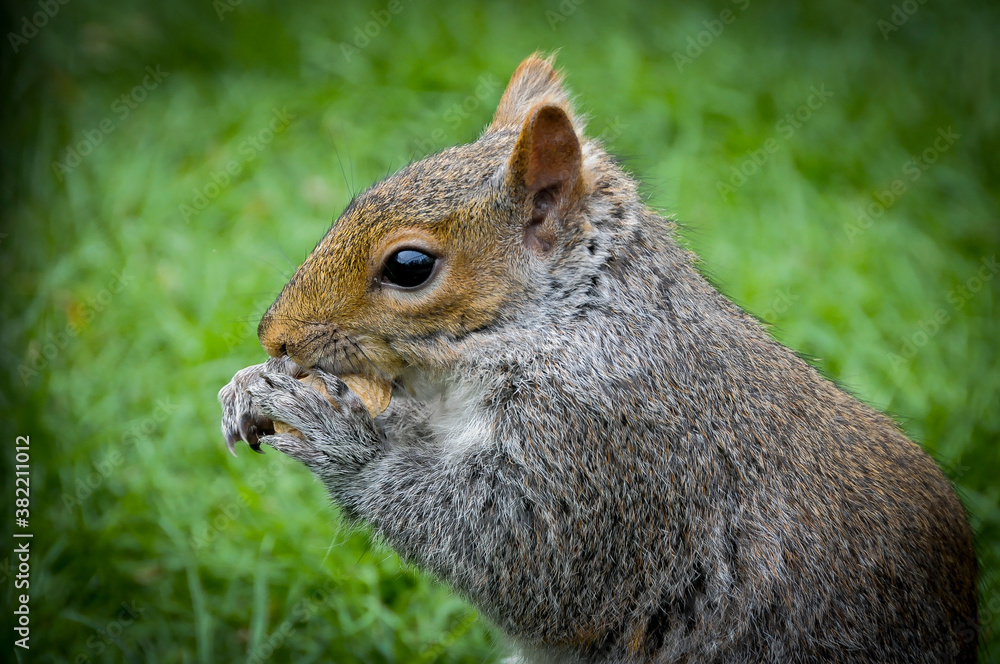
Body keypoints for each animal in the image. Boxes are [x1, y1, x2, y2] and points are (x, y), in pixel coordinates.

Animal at [218, 54, 978, 662]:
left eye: (409, 266)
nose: (273, 336)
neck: (571, 318)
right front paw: (247, 388)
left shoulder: (607, 442)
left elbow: (519, 556)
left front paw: (339, 434)